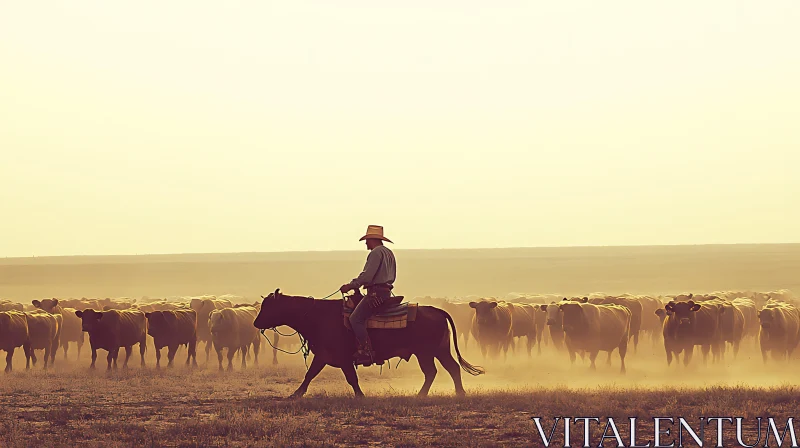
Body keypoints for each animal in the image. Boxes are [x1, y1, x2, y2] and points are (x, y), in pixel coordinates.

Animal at [253, 290, 484, 400]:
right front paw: (296, 394)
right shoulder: (324, 356)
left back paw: (439, 393)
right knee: (445, 369)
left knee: (439, 370)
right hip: (435, 351)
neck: (318, 316)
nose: (256, 323)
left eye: (268, 306)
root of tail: (436, 310)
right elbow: (310, 374)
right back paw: (448, 393)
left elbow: (350, 378)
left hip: (429, 352)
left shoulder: (339, 357)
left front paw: (360, 395)